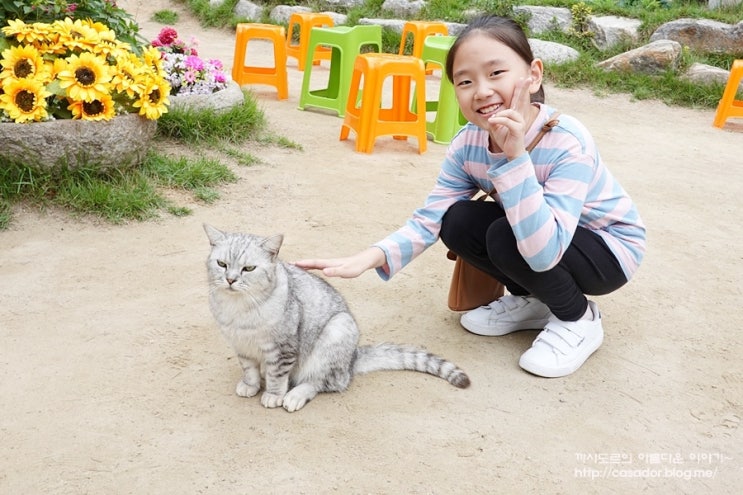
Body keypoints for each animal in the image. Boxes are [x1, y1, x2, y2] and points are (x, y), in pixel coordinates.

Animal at [203, 227, 470, 412]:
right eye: (222, 264)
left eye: (248, 269)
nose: (230, 279)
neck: (239, 309)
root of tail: (352, 358)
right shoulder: (242, 346)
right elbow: (249, 369)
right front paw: (250, 385)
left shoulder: (283, 348)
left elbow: (277, 375)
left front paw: (274, 395)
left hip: (336, 331)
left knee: (326, 382)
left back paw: (294, 396)